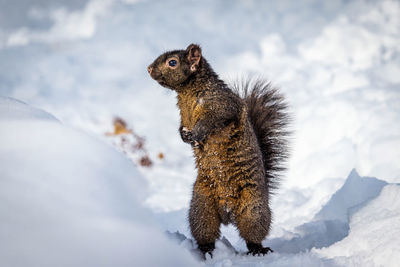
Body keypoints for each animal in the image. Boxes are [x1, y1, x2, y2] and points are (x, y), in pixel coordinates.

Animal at [148, 44, 290, 258]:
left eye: (172, 62)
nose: (148, 68)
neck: (187, 93)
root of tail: (228, 213)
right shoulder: (184, 116)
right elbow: (181, 126)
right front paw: (184, 136)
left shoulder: (221, 104)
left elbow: (212, 120)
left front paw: (195, 134)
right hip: (201, 207)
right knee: (206, 233)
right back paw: (205, 251)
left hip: (253, 208)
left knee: (252, 234)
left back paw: (258, 249)